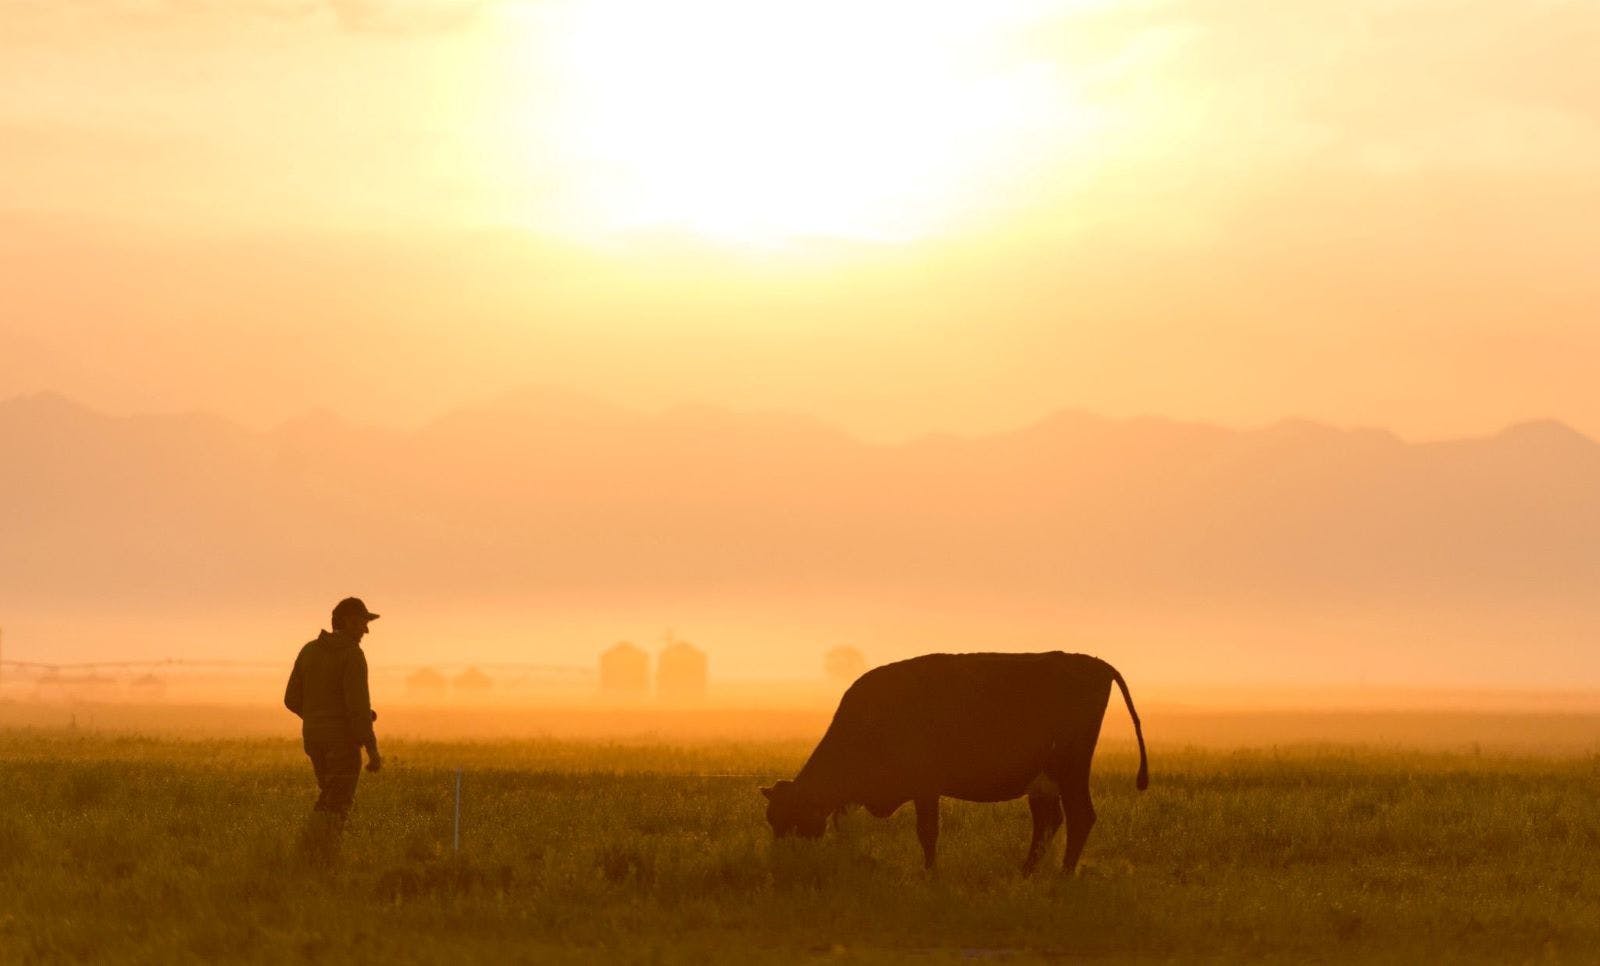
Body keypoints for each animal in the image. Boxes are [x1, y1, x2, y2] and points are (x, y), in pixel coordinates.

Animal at [758, 652, 1145, 870]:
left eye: (793, 820)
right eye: (772, 821)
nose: (782, 861)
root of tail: (1095, 664)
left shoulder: (925, 788)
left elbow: (928, 833)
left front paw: (930, 874)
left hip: (1070, 770)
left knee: (1080, 817)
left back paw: (1061, 877)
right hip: (1044, 781)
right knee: (1049, 823)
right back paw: (1026, 873)